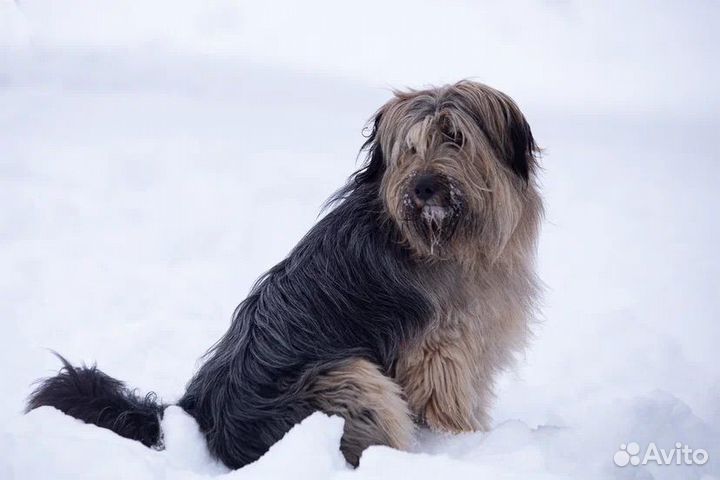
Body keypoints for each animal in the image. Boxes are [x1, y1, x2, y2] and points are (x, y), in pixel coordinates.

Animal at [28, 80, 544, 466]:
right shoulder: (441, 351)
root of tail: (196, 413)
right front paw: (461, 446)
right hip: (350, 378)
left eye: (455, 137)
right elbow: (446, 403)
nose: (423, 187)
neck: (436, 236)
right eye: (408, 149)